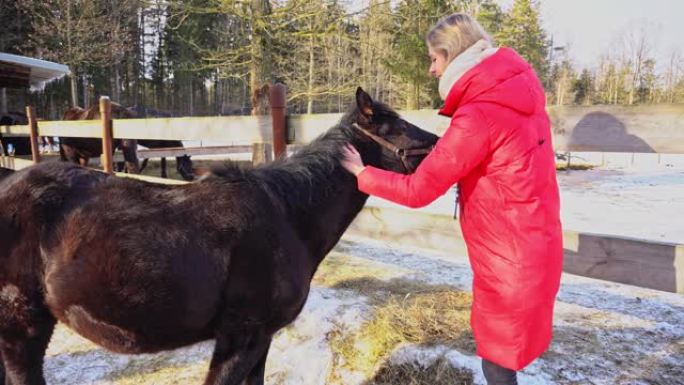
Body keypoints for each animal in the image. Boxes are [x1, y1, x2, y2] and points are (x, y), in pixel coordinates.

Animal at [0, 88, 438, 384]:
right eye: (396, 126)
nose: (439, 144)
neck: (287, 216)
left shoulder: (261, 338)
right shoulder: (239, 338)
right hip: (21, 325)